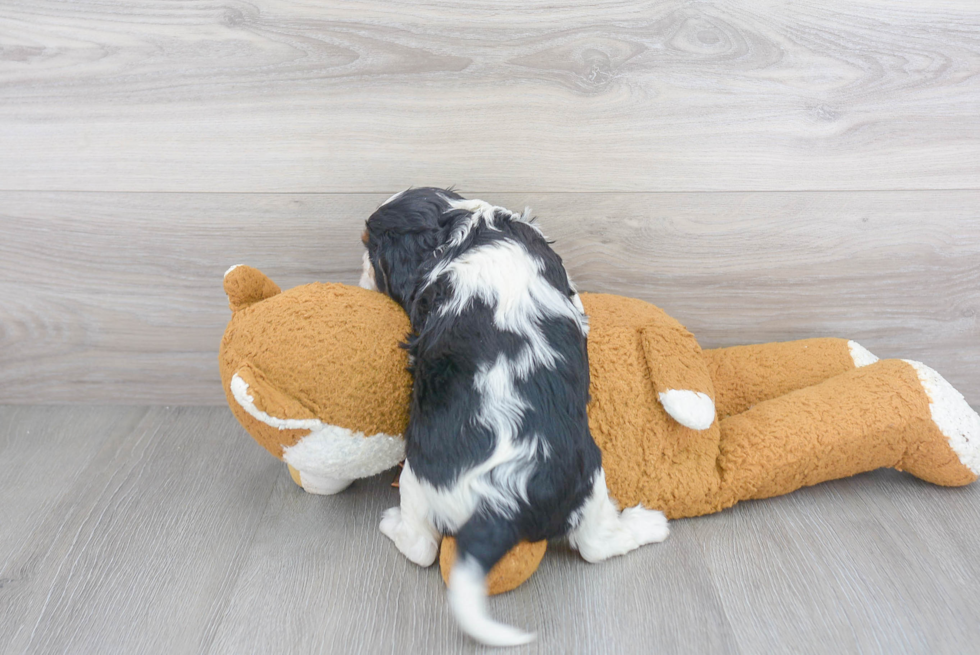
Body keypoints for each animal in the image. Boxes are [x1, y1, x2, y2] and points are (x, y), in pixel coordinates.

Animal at [364, 188, 668, 644]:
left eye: (369, 246)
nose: (361, 273)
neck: (463, 229)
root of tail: (501, 503)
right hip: (588, 476)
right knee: (595, 544)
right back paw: (650, 524)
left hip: (419, 480)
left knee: (421, 547)